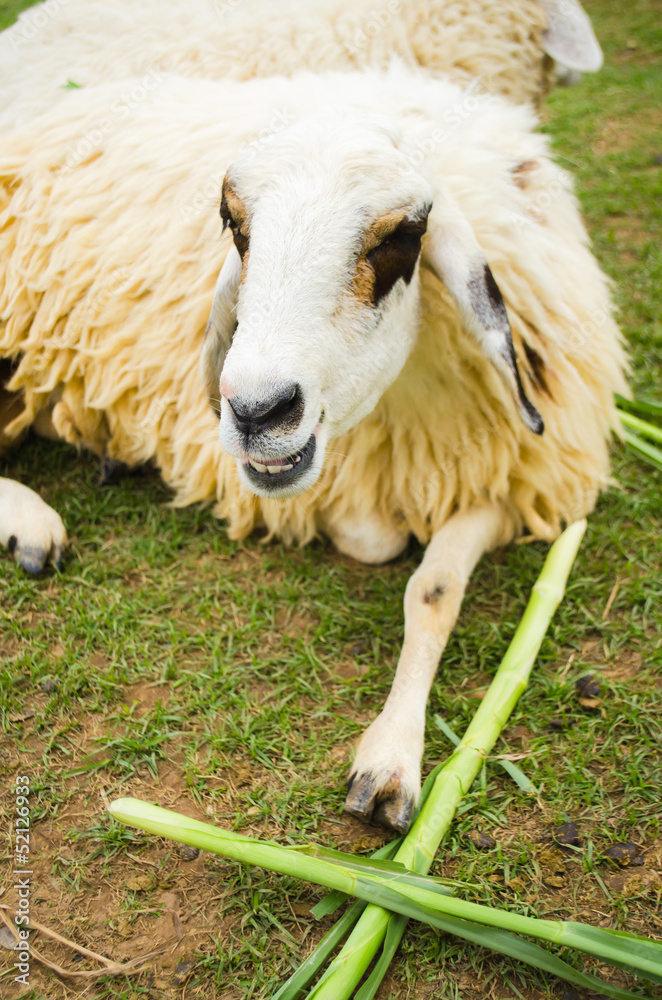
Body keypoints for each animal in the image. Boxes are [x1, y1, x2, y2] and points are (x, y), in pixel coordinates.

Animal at [0, 63, 627, 830]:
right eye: (233, 224)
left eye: (405, 233)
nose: (256, 410)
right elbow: (378, 543)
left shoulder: (521, 475)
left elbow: (433, 588)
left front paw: (390, 757)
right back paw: (34, 526)